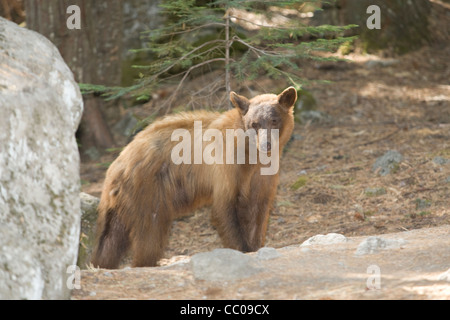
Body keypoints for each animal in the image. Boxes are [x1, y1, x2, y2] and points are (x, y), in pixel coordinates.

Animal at [91, 86, 298, 268]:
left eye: (274, 120)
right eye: (254, 124)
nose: (266, 145)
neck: (251, 156)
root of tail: (116, 165)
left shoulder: (263, 176)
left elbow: (258, 211)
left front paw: (256, 246)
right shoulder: (227, 167)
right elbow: (224, 209)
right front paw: (244, 250)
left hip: (122, 203)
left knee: (110, 240)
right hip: (147, 191)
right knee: (150, 232)